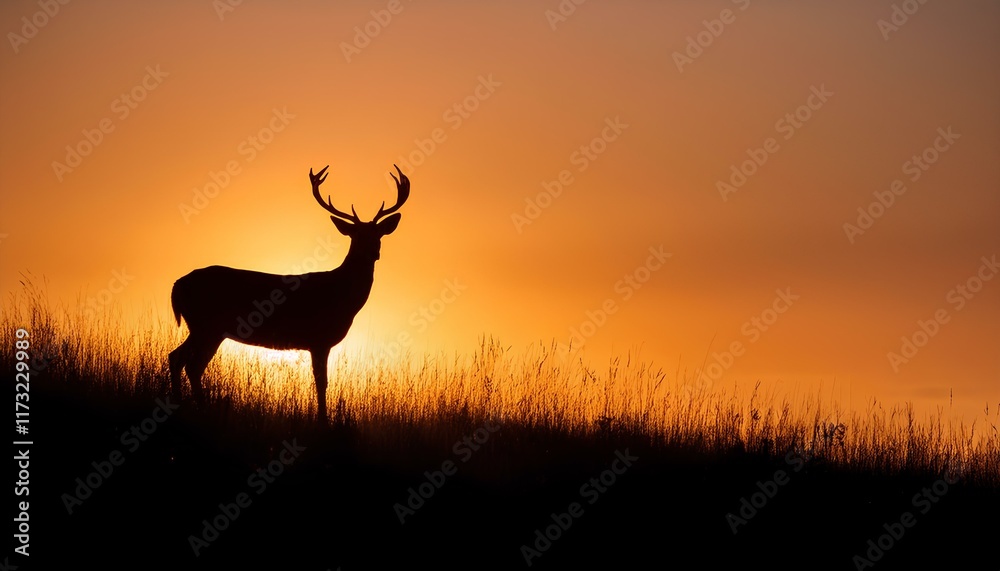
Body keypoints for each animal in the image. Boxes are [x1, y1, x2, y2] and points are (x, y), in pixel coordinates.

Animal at [168, 164, 409, 423]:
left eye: (378, 235)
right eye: (356, 235)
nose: (374, 252)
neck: (342, 296)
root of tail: (177, 285)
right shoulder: (319, 339)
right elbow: (321, 382)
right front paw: (323, 422)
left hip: (206, 328)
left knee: (178, 359)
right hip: (206, 325)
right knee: (189, 363)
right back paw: (196, 409)